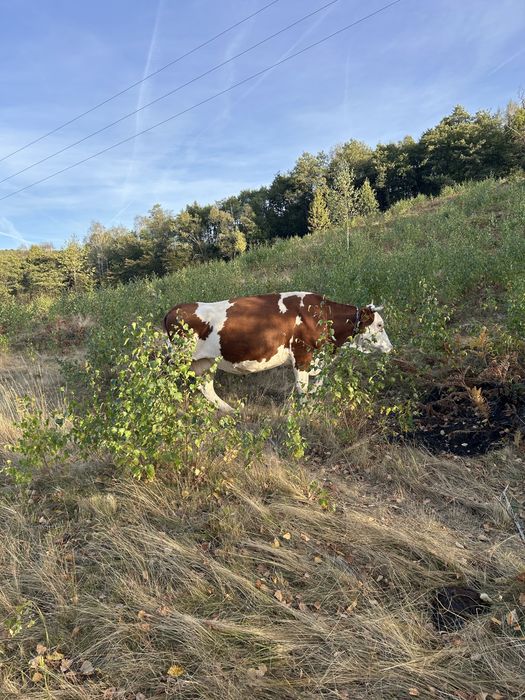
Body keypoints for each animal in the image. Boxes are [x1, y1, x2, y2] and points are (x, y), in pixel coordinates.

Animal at [163, 292, 392, 413]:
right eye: (380, 325)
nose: (391, 348)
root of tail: (173, 310)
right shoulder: (302, 354)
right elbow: (302, 387)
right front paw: (305, 410)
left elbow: (320, 380)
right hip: (180, 358)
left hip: (206, 361)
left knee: (206, 387)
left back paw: (230, 410)